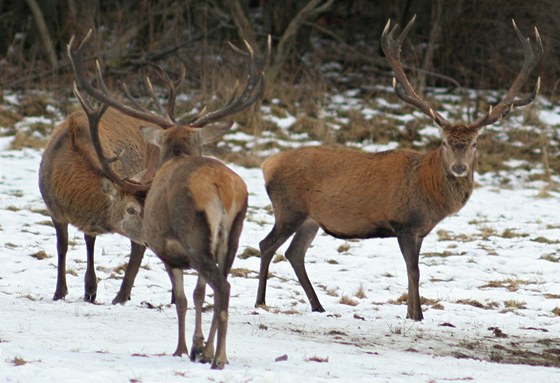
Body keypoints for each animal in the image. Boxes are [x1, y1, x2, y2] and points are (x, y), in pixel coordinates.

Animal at [66, 31, 268, 370]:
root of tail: (221, 187)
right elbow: (198, 294)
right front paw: (198, 346)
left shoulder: (166, 249)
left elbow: (183, 299)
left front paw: (184, 348)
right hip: (233, 236)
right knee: (219, 285)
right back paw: (215, 353)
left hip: (194, 236)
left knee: (222, 287)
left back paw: (218, 357)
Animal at [255, 16, 544, 320]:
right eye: (444, 142)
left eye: (475, 143)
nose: (459, 168)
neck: (429, 192)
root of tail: (267, 165)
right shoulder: (404, 223)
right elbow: (414, 271)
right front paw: (417, 315)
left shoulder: (419, 231)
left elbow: (411, 271)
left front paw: (411, 313)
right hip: (288, 209)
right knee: (267, 245)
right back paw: (261, 301)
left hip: (311, 219)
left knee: (294, 253)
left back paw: (318, 305)